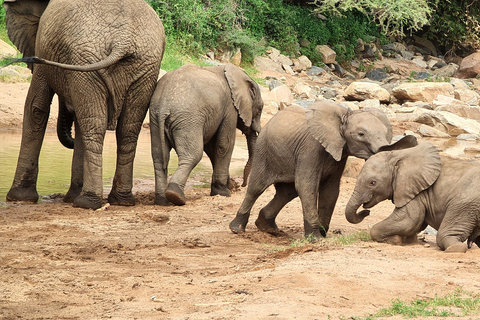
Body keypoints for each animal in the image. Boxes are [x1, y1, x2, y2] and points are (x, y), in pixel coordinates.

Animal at [3, 0, 166, 210]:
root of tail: (123, 41)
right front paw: (71, 195)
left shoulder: (43, 52)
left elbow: (36, 108)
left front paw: (19, 197)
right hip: (142, 67)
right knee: (126, 129)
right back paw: (121, 200)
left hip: (89, 63)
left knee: (94, 126)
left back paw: (87, 202)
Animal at [149, 63, 262, 206]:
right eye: (260, 109)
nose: (241, 185)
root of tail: (164, 106)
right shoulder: (230, 108)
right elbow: (224, 144)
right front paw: (224, 192)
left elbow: (212, 147)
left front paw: (225, 188)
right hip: (188, 119)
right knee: (193, 155)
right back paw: (175, 196)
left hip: (155, 118)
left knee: (159, 157)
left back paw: (162, 200)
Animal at [228, 101, 412, 239]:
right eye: (361, 134)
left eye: (386, 133)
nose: (366, 211)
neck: (343, 115)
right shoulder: (311, 148)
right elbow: (307, 186)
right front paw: (315, 238)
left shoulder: (339, 155)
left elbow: (331, 191)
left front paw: (322, 235)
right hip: (264, 151)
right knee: (256, 187)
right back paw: (237, 229)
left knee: (287, 192)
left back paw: (268, 228)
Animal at [346, 141, 480, 254]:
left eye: (372, 183)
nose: (366, 212)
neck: (399, 155)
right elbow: (416, 224)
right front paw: (409, 241)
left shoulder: (417, 191)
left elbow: (408, 220)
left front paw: (395, 240)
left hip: (466, 203)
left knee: (444, 235)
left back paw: (455, 248)